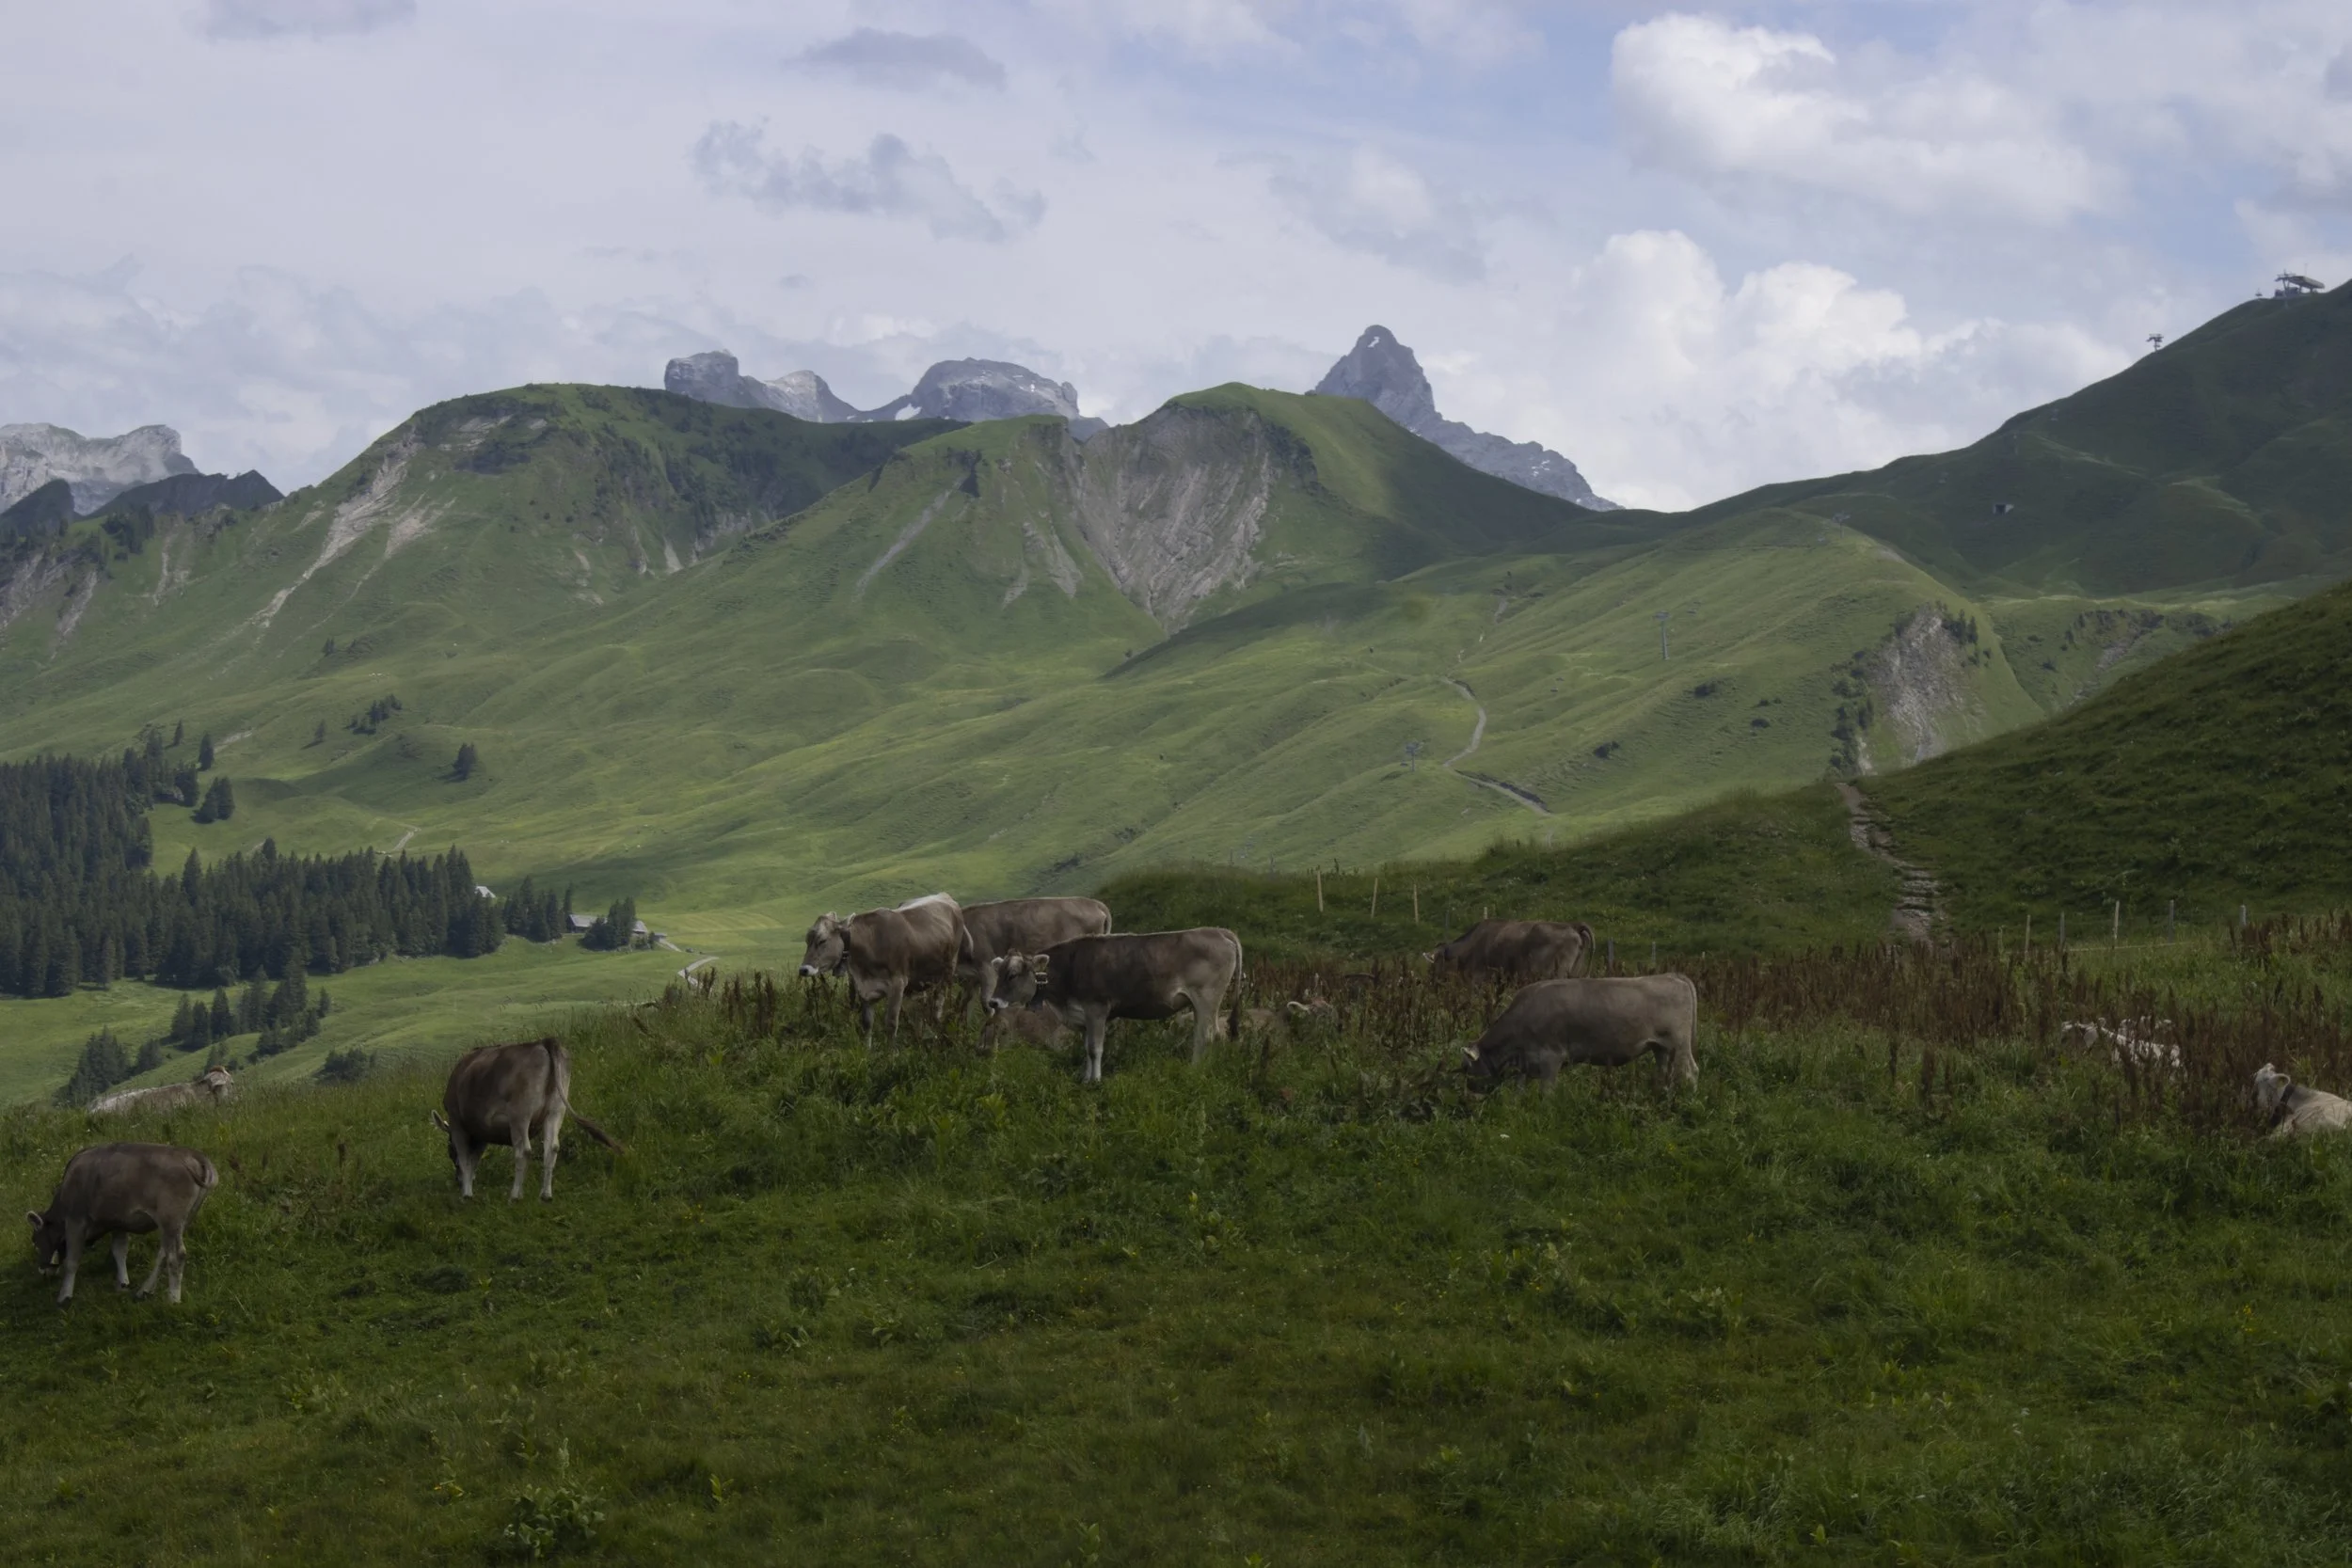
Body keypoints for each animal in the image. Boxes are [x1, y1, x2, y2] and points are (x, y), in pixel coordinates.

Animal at [27, 1142, 218, 1305]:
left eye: (35, 1241)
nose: (42, 1270)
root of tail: (194, 1154)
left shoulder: (76, 1221)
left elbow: (72, 1261)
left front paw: (64, 1296)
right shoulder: (118, 1223)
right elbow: (119, 1250)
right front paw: (123, 1283)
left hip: (170, 1219)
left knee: (176, 1255)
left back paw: (173, 1299)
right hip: (182, 1221)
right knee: (164, 1253)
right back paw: (145, 1290)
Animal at [431, 1037, 621, 1201]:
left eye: (449, 1151)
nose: (456, 1180)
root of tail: (543, 1042)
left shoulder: (458, 1122)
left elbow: (465, 1159)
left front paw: (466, 1194)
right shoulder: (481, 1132)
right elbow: (474, 1158)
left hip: (520, 1113)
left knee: (523, 1150)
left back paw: (515, 1196)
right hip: (556, 1109)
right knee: (552, 1147)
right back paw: (545, 1195)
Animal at [799, 893, 966, 1043]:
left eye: (822, 940)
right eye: (807, 940)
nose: (803, 969)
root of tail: (945, 896)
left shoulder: (897, 985)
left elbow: (891, 1025)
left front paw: (890, 1054)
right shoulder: (864, 989)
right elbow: (867, 1024)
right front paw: (867, 1051)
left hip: (948, 971)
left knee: (939, 1003)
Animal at [986, 928, 1244, 1083]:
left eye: (1012, 975)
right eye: (997, 973)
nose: (993, 1001)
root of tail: (1218, 931)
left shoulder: (1097, 1010)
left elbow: (1095, 1049)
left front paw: (1095, 1081)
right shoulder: (1084, 1018)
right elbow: (1086, 1050)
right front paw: (1085, 1078)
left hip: (1206, 998)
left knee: (1206, 1036)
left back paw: (1197, 1071)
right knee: (1211, 1034)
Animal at [1462, 975, 1699, 1091]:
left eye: (1468, 1069)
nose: (1469, 1092)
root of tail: (1673, 977)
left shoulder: (1551, 1058)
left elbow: (1546, 1092)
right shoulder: (1526, 1062)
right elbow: (1519, 1090)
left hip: (1679, 1044)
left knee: (1690, 1073)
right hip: (1661, 1048)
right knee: (1663, 1072)